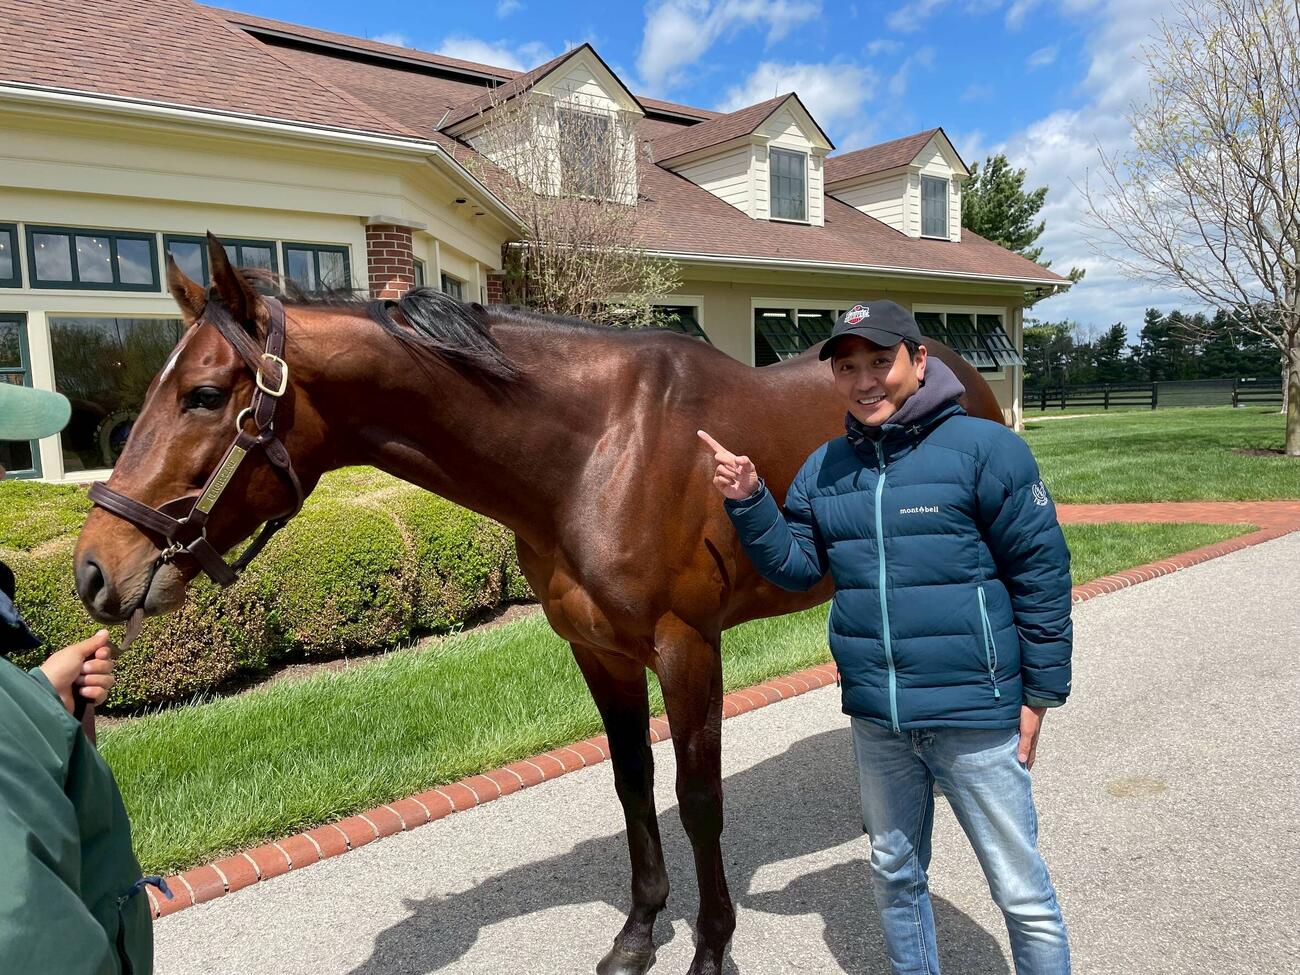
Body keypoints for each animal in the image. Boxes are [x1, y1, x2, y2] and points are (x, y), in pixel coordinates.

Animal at [74, 234, 1005, 975]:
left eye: (202, 394)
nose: (94, 570)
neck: (596, 449)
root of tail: (957, 368)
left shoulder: (687, 648)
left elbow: (698, 797)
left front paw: (710, 947)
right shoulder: (599, 651)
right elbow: (633, 783)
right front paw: (637, 933)